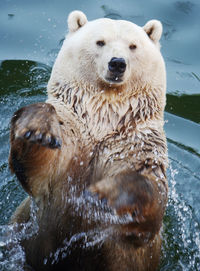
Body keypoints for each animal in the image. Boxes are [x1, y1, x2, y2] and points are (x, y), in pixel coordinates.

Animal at [9, 10, 169, 271]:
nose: (117, 63)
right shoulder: (73, 135)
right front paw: (38, 129)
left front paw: (108, 194)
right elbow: (40, 171)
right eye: (100, 41)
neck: (101, 121)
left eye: (133, 46)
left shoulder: (134, 142)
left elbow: (150, 190)